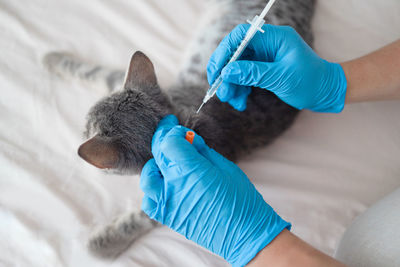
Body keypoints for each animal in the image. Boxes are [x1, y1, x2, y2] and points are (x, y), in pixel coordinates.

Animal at [42, 0, 314, 260]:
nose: (81, 131)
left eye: (85, 130)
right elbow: (93, 71)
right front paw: (54, 59)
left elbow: (141, 218)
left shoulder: (175, 198)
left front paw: (104, 243)